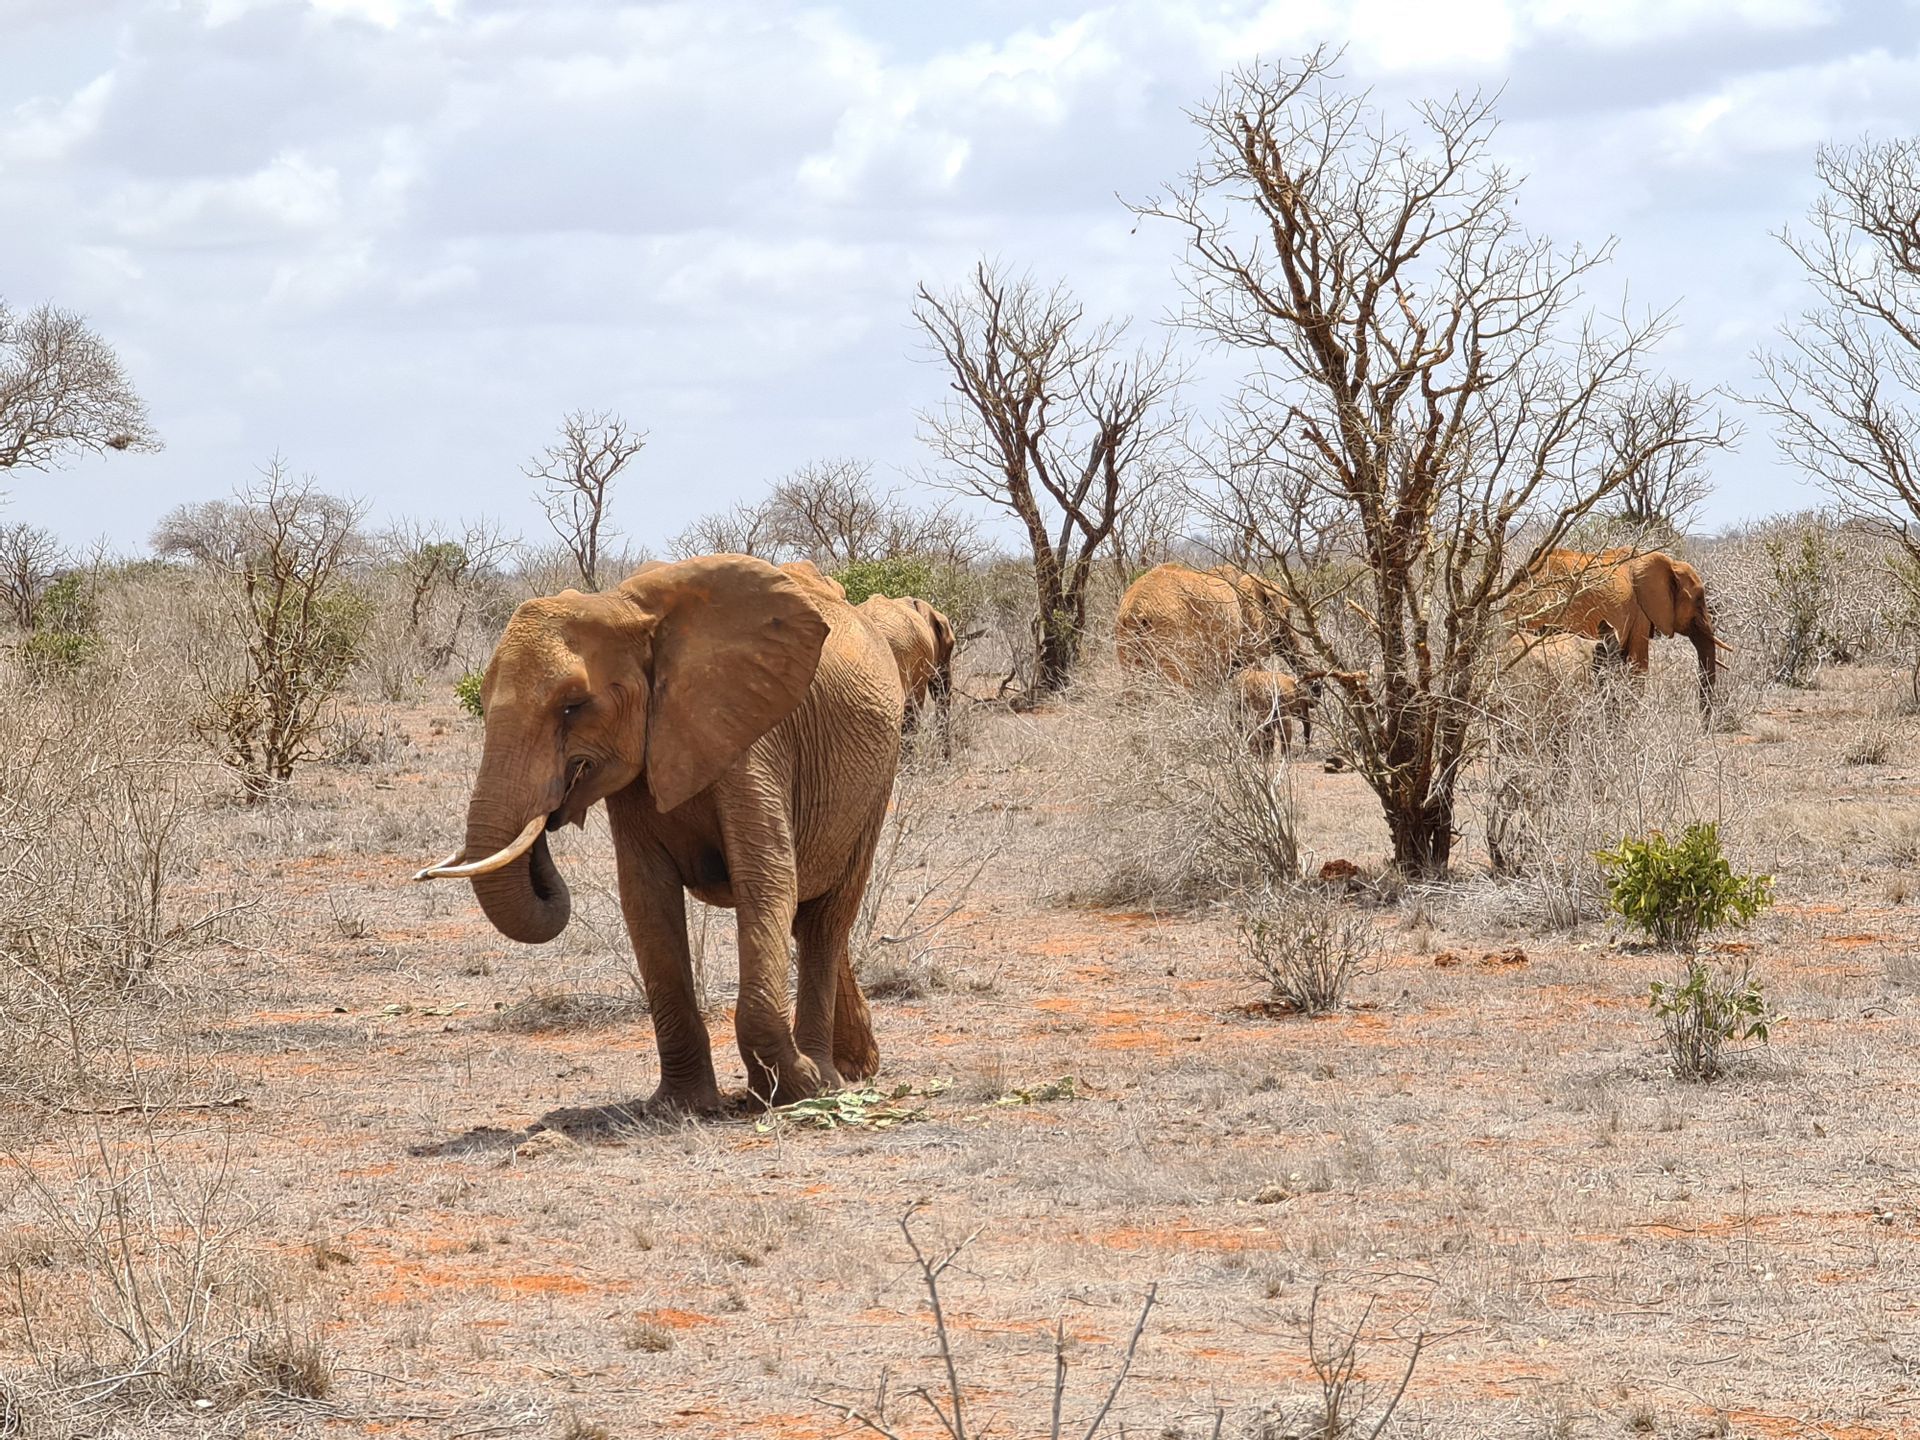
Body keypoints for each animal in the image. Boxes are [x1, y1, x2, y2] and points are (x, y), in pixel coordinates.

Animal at [414, 554, 904, 1111]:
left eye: (573, 705)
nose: (552, 810)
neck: (623, 608)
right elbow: (646, 898)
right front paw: (682, 1105)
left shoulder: (752, 737)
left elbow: (766, 880)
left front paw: (792, 1092)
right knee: (811, 918)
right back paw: (855, 1066)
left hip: (877, 777)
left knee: (826, 918)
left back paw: (827, 1079)